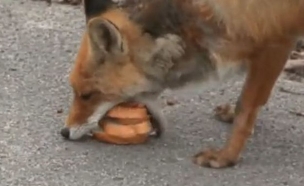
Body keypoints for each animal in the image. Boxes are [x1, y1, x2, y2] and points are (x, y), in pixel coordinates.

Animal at [59, 0, 304, 169]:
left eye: (87, 95)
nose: (64, 132)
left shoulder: (277, 42)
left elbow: (247, 106)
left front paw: (226, 157)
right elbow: (249, 103)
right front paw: (232, 117)